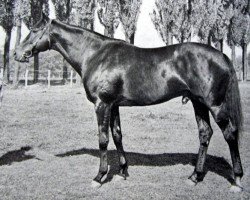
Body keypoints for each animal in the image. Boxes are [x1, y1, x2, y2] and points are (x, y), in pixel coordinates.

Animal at [14, 14, 244, 192]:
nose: (17, 53)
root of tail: (222, 56)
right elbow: (117, 136)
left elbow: (103, 139)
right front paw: (123, 171)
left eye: (34, 30)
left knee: (230, 134)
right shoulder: (114, 105)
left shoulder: (102, 104)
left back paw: (237, 181)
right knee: (205, 134)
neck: (95, 55)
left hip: (215, 105)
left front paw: (99, 177)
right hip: (199, 104)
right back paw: (195, 177)